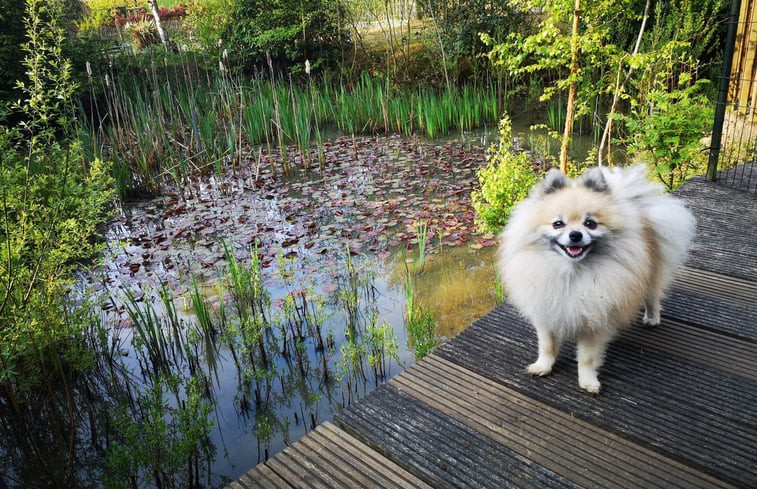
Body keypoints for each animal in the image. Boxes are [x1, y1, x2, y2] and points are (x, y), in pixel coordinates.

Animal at [496, 164, 696, 392]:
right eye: (558, 224)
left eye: (590, 223)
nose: (575, 235)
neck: (571, 273)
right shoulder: (546, 313)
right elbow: (547, 346)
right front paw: (543, 367)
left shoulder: (596, 323)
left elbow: (587, 358)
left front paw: (588, 381)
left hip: (651, 276)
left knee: (652, 298)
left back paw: (652, 318)